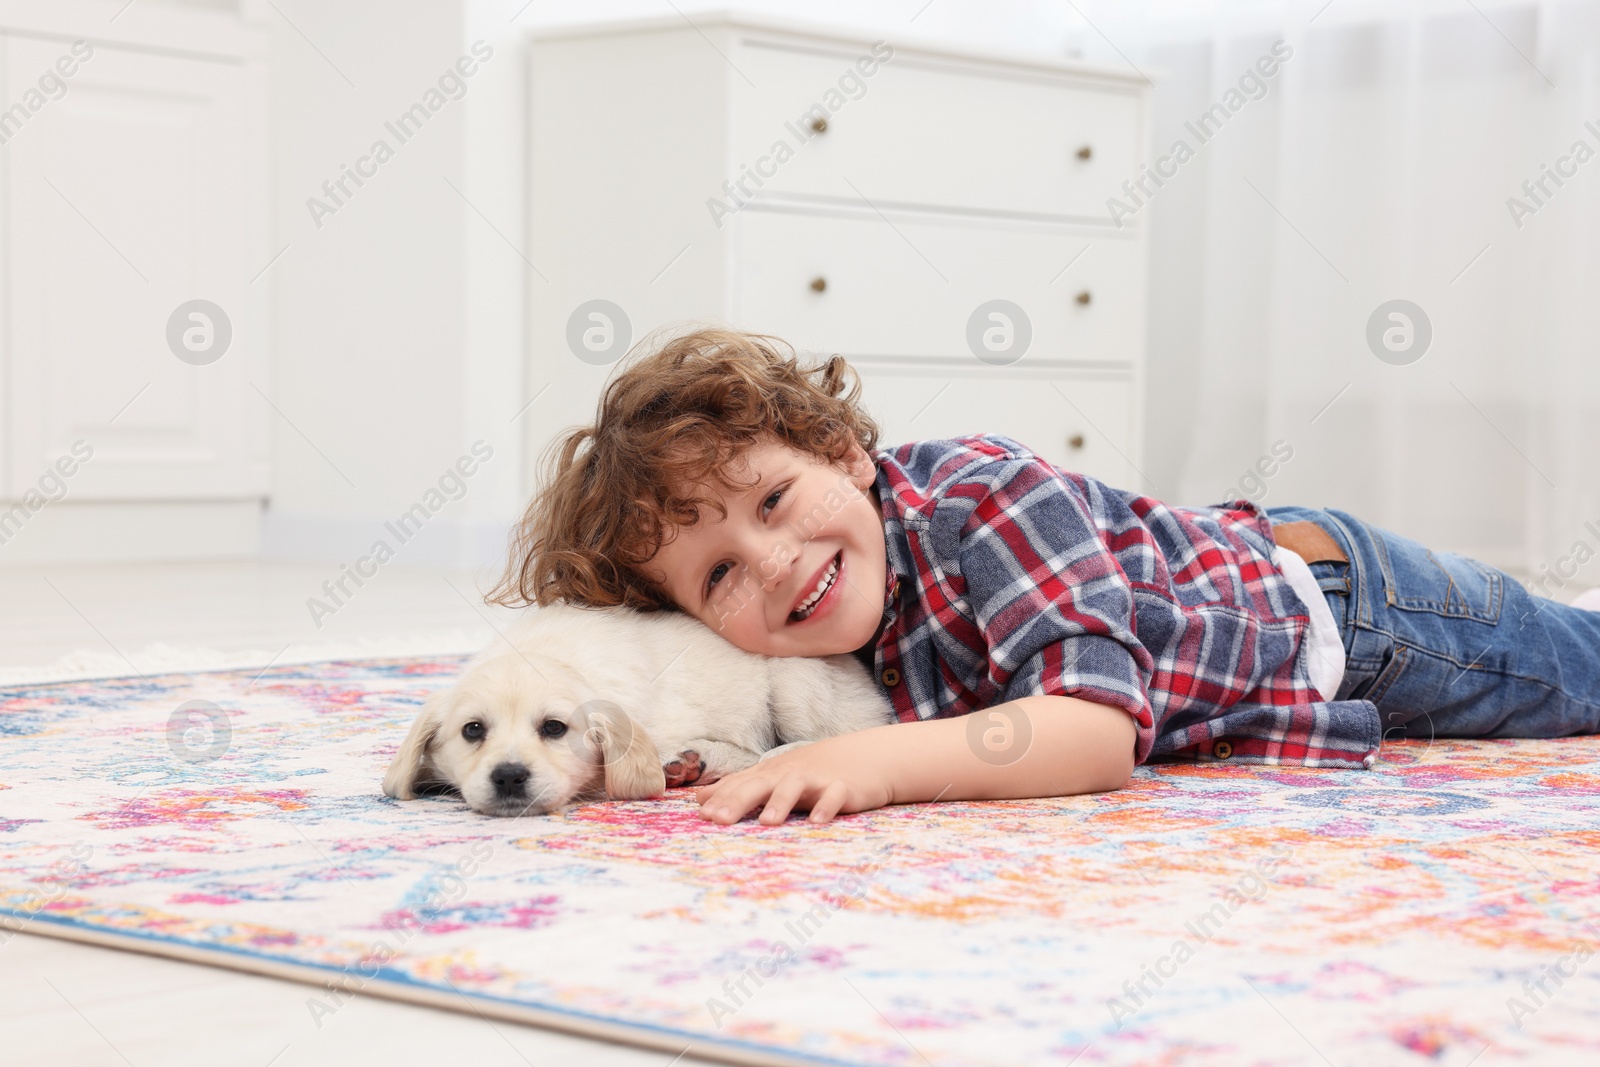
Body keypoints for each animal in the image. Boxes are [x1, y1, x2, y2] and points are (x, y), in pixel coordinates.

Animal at [380, 604, 896, 825]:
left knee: (820, 739)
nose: (508, 776)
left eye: (554, 728)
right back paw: (696, 761)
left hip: (795, 676)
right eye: (473, 731)